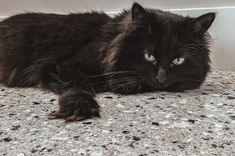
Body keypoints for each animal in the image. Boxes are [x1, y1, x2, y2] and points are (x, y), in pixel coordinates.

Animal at [0, 3, 215, 121]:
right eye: (149, 56)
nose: (160, 79)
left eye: (178, 60)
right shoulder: (62, 66)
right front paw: (81, 108)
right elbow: (79, 86)